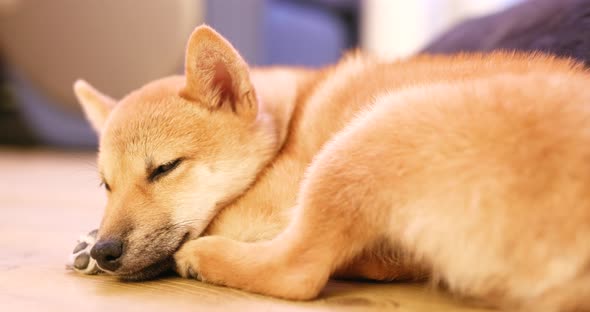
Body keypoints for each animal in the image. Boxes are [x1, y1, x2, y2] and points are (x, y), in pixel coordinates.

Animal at [74, 25, 590, 310]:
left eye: (164, 168)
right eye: (105, 185)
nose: (105, 250)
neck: (291, 119)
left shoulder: (270, 201)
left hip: (369, 133)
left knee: (297, 270)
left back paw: (204, 258)